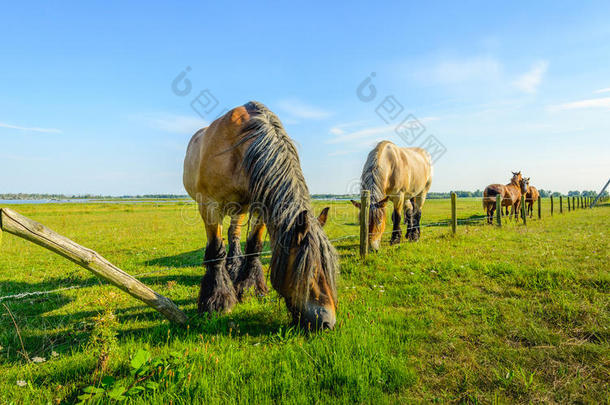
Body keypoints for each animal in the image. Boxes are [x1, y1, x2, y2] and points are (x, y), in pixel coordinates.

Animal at [183, 100, 340, 328]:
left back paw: (234, 267)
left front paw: (250, 287)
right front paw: (217, 299)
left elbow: (254, 246)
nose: (327, 323)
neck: (239, 150)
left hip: (239, 209)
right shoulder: (210, 205)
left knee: (234, 234)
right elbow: (216, 250)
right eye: (309, 271)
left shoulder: (261, 204)